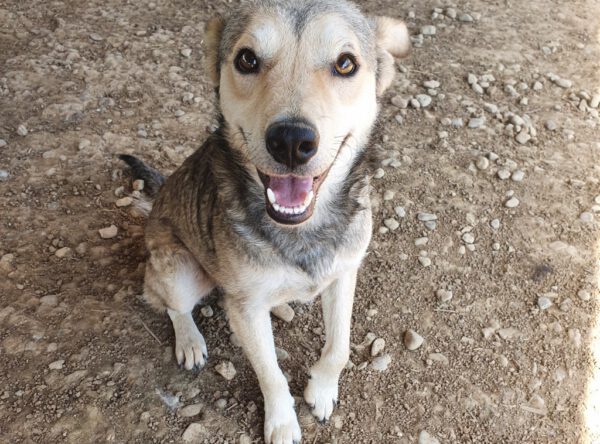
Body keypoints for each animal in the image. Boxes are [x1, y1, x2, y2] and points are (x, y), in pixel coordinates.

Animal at [119, 1, 408, 442]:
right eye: (247, 59)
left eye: (345, 63)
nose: (291, 141)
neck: (302, 232)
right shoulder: (246, 309)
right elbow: (270, 374)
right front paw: (282, 423)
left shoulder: (344, 273)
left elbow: (339, 347)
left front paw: (321, 390)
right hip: (180, 271)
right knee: (171, 304)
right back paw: (189, 341)